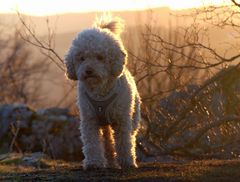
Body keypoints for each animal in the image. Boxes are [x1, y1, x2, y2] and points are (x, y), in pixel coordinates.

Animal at [64, 15, 142, 169]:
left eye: (100, 57)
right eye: (82, 58)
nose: (88, 70)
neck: (100, 91)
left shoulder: (121, 119)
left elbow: (124, 142)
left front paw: (127, 162)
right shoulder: (89, 119)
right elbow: (92, 143)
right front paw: (93, 163)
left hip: (133, 117)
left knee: (130, 136)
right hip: (104, 124)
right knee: (108, 141)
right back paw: (111, 162)